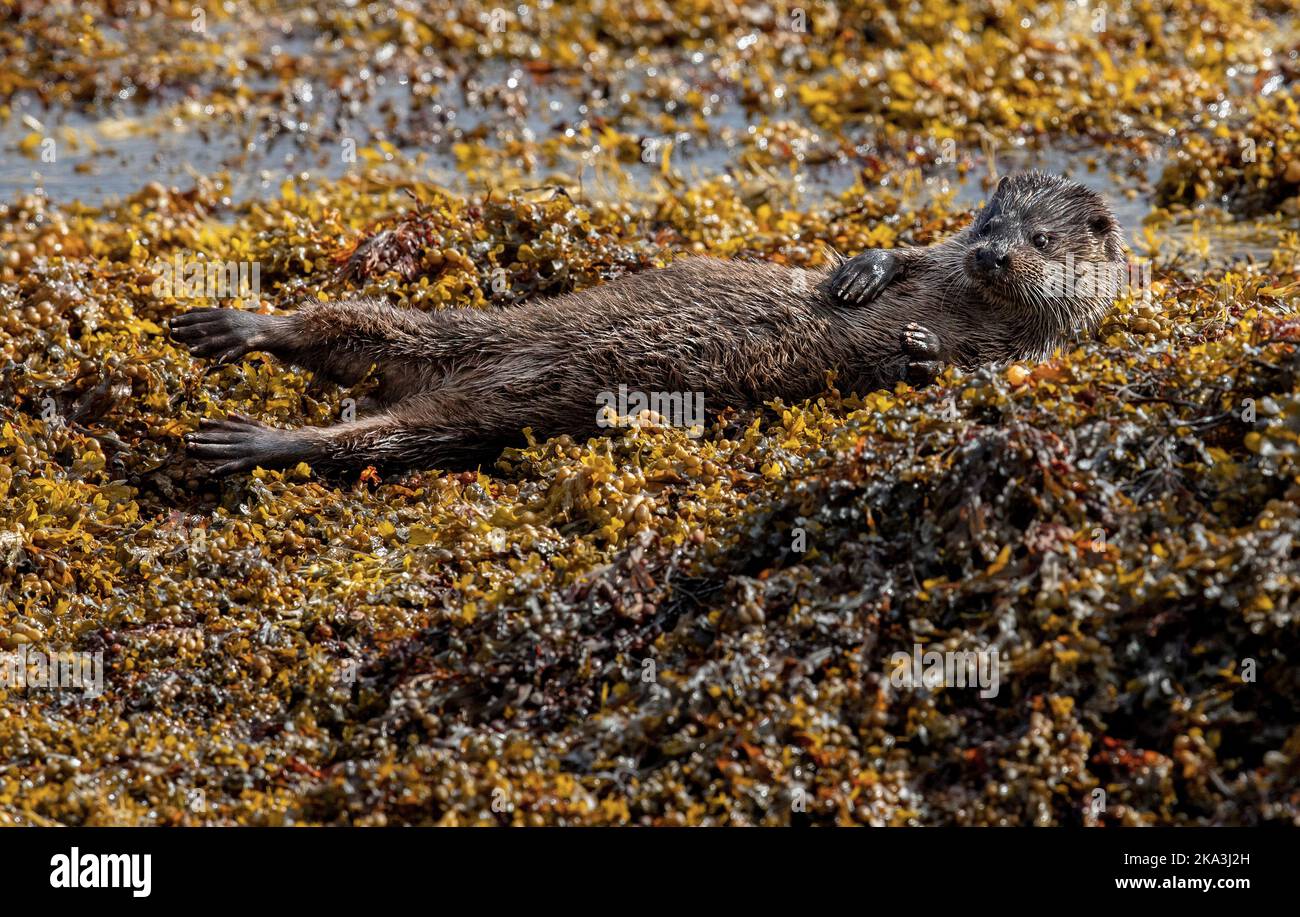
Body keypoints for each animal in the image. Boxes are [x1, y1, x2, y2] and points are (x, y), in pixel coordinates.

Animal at [172, 167, 1128, 476]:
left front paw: (923, 346)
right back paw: (237, 328)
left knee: (372, 427)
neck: (965, 298)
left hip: (476, 403)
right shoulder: (937, 257)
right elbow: (895, 255)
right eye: (983, 220)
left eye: (1040, 239)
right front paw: (860, 273)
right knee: (351, 329)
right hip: (480, 333)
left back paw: (250, 439)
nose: (991, 256)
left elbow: (976, 367)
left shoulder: (1036, 346)